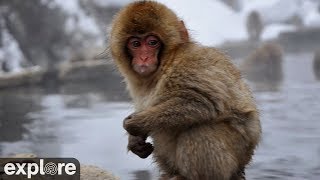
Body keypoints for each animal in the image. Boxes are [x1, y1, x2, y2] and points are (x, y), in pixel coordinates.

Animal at [109, 1, 260, 179]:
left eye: (152, 42)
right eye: (136, 44)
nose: (144, 58)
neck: (166, 62)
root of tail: (242, 166)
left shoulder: (190, 65)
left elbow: (201, 102)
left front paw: (135, 123)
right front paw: (135, 140)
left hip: (236, 155)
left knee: (200, 129)